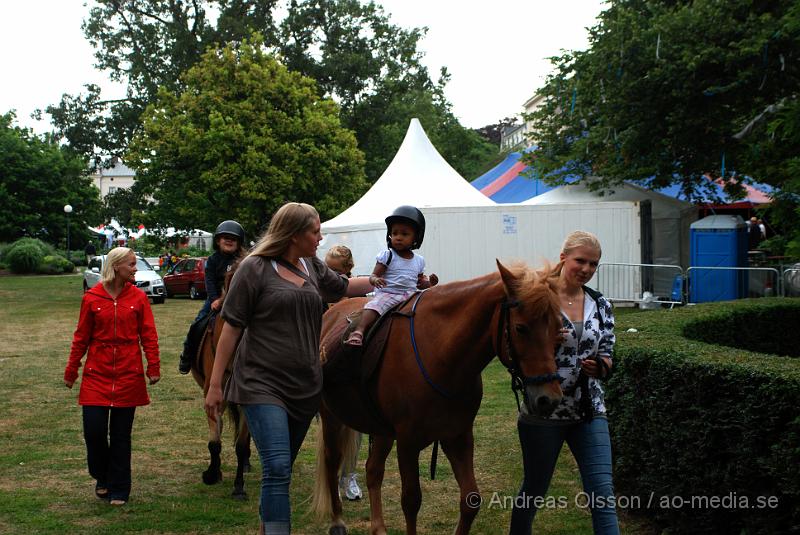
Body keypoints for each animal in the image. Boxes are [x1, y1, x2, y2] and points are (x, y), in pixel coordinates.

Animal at [312, 260, 564, 535]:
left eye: (558, 327)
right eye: (520, 328)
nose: (549, 399)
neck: (441, 354)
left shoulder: (458, 436)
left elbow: (471, 499)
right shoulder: (408, 442)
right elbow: (411, 501)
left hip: (382, 429)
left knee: (373, 470)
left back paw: (378, 527)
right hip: (332, 419)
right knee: (332, 462)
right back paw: (337, 521)